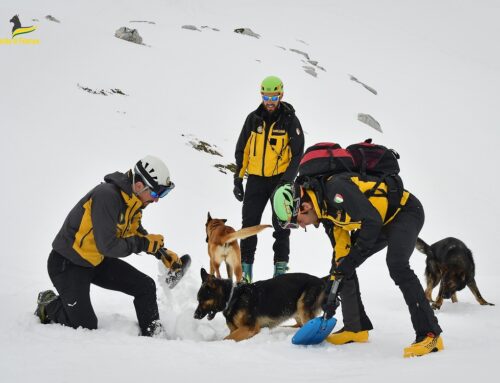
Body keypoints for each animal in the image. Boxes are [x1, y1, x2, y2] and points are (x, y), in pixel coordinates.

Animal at [193, 270, 326, 342]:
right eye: (198, 300)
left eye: (202, 300)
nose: (195, 316)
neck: (233, 297)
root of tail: (320, 280)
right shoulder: (236, 329)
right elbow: (229, 336)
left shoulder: (249, 328)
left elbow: (226, 338)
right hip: (295, 309)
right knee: (299, 325)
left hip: (302, 306)